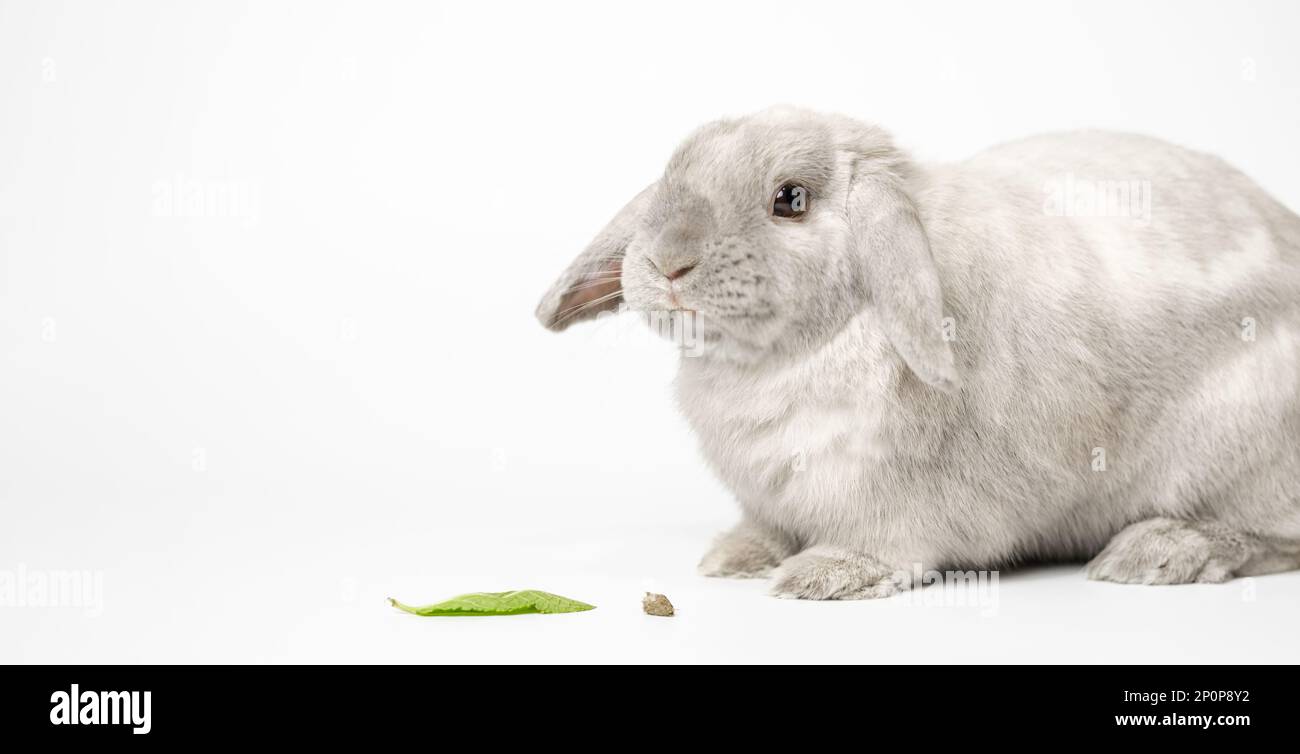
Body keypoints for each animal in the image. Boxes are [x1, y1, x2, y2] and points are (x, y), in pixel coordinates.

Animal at [530, 107, 1300, 600]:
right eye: (671, 176)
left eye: (790, 199)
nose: (667, 263)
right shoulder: (769, 497)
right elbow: (764, 527)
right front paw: (734, 558)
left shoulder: (897, 502)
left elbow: (886, 545)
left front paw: (824, 576)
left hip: (1245, 453)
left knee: (1272, 541)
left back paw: (1159, 553)